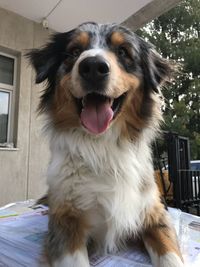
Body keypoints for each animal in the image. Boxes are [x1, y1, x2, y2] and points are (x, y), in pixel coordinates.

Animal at [27, 22, 184, 267]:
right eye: (74, 51)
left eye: (123, 52)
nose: (92, 66)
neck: (103, 146)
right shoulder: (65, 223)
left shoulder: (153, 214)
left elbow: (170, 255)